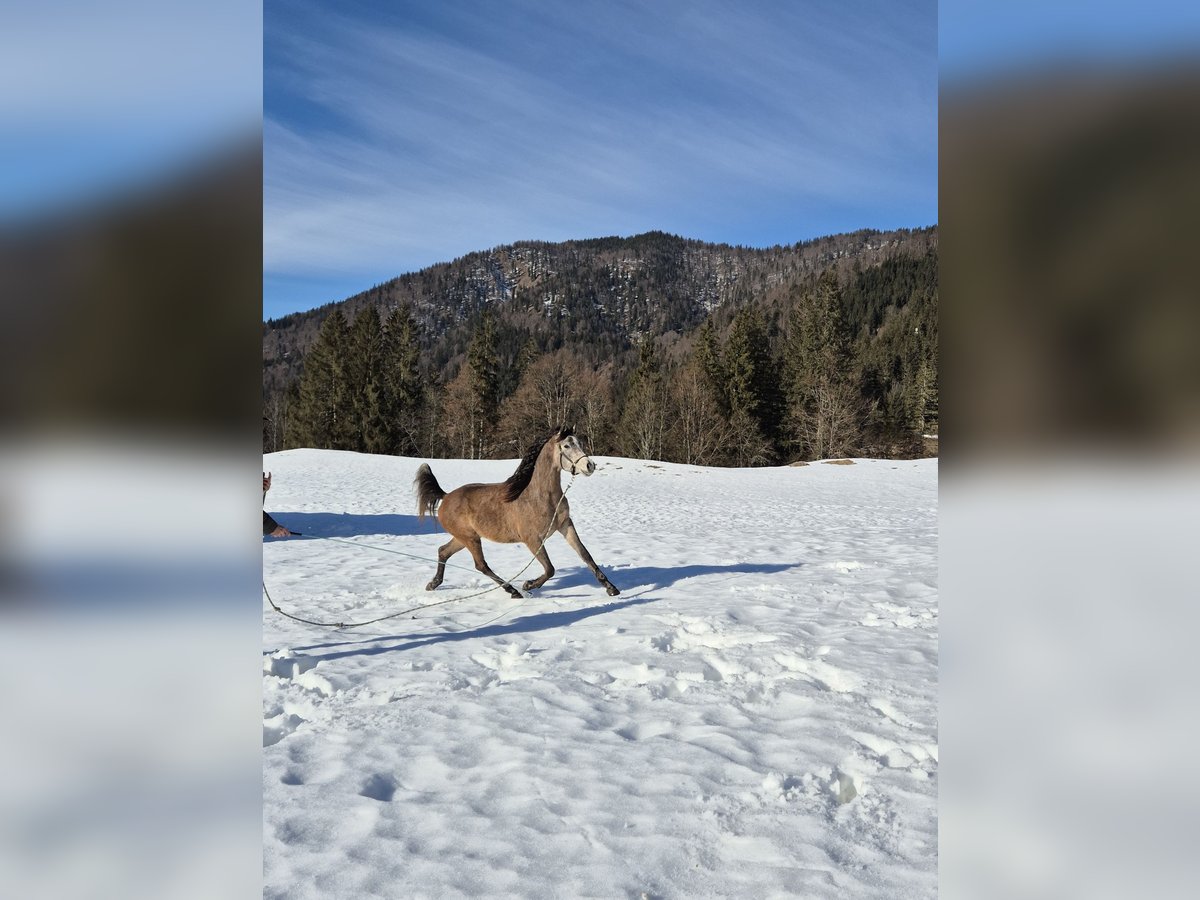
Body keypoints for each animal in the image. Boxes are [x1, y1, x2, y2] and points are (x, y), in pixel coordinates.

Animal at [412, 427, 619, 602]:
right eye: (567, 446)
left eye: (580, 443)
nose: (589, 465)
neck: (540, 497)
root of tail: (446, 496)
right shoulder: (532, 539)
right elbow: (550, 569)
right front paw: (529, 585)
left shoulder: (565, 525)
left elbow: (586, 555)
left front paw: (611, 588)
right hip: (469, 538)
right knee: (481, 565)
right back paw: (513, 591)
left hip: (464, 538)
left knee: (443, 551)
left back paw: (433, 584)